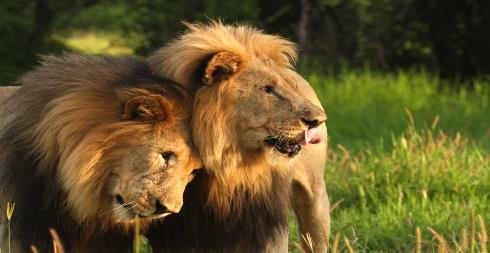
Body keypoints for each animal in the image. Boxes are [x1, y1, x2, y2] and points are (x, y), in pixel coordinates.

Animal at [145, 22, 330, 253]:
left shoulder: (261, 219)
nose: (319, 120)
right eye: (268, 89)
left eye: (290, 87)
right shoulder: (178, 229)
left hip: (314, 197)